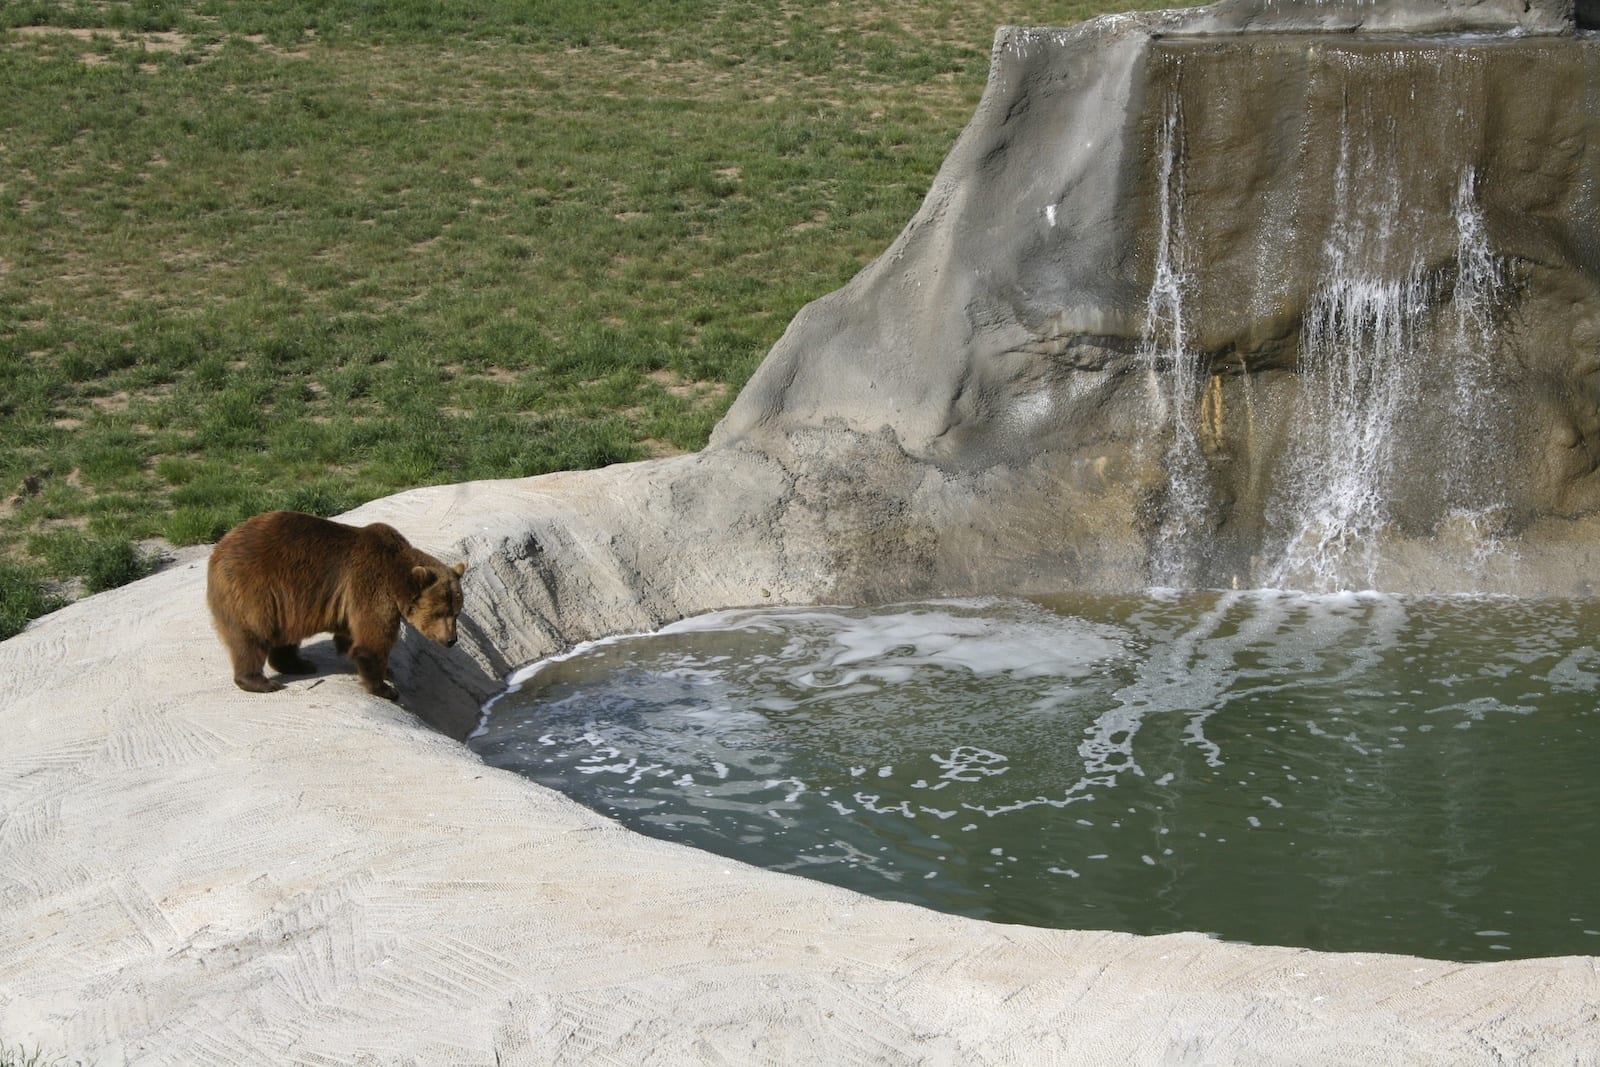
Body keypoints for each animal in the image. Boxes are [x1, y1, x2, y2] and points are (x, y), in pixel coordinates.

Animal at [209, 508, 467, 700]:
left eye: (456, 612)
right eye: (439, 612)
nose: (451, 640)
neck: (396, 579)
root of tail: (219, 547)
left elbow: (352, 636)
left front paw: (385, 670)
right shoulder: (371, 585)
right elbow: (371, 641)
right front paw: (385, 688)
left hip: (286, 604)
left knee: (285, 636)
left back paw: (298, 664)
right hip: (255, 588)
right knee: (251, 636)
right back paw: (261, 682)